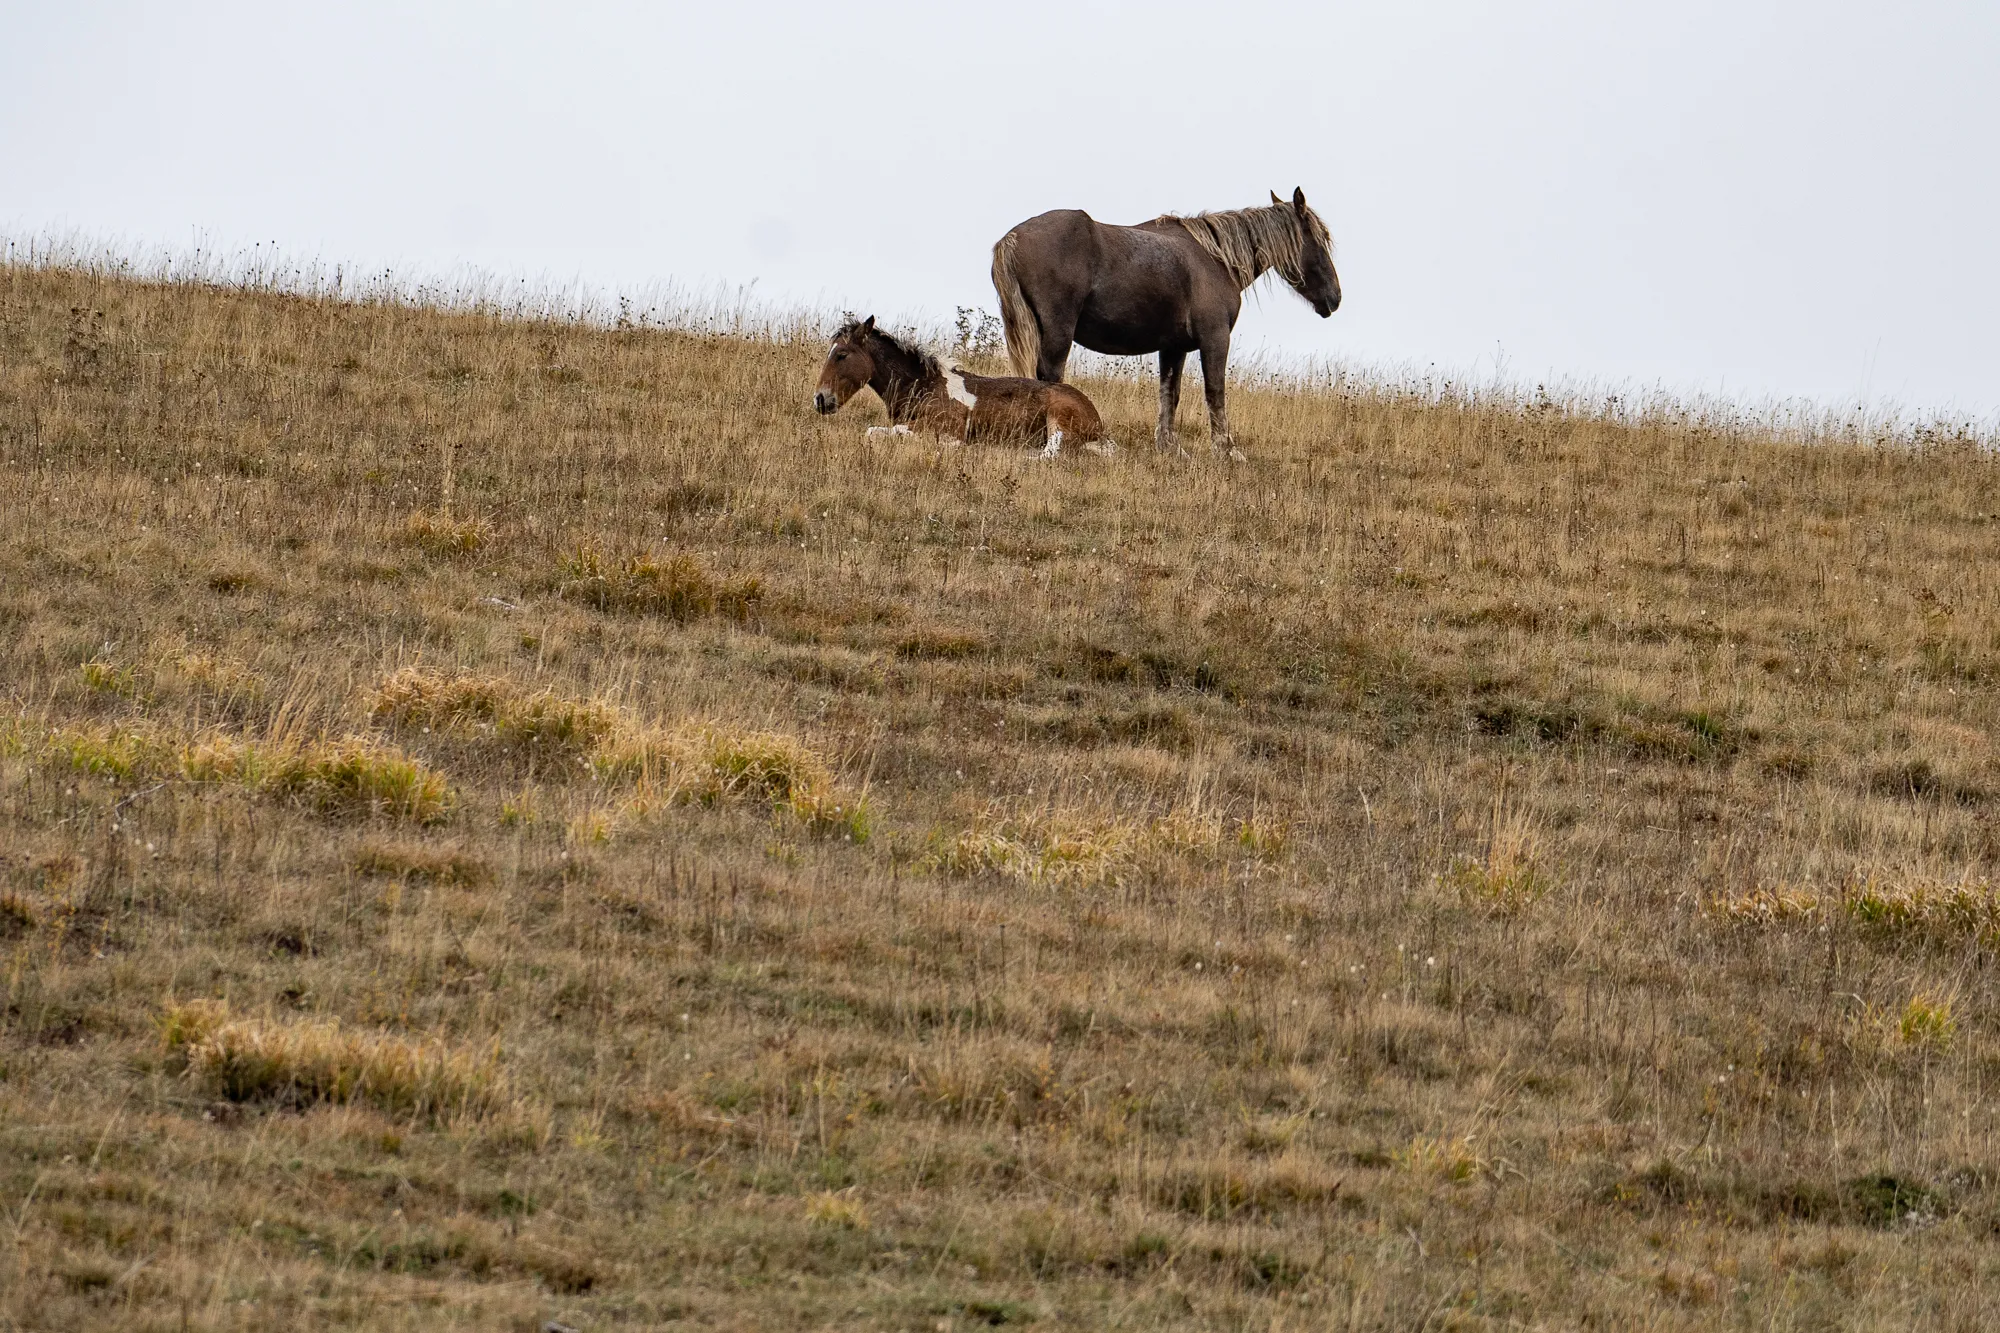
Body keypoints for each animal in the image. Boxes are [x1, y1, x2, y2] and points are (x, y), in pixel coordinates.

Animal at [811, 316, 1112, 456]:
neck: (925, 385)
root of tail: (1097, 420)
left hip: (1058, 423)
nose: (820, 399)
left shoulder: (944, 427)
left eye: (842, 355)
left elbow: (881, 432)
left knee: (1051, 454)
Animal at [990, 187, 1339, 456]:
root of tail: (1013, 237)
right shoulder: (1215, 339)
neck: (1215, 260)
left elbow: (1170, 394)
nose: (1335, 298)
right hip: (1057, 333)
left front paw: (1170, 447)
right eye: (1319, 238)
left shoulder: (1174, 348)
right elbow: (1215, 392)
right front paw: (1225, 449)